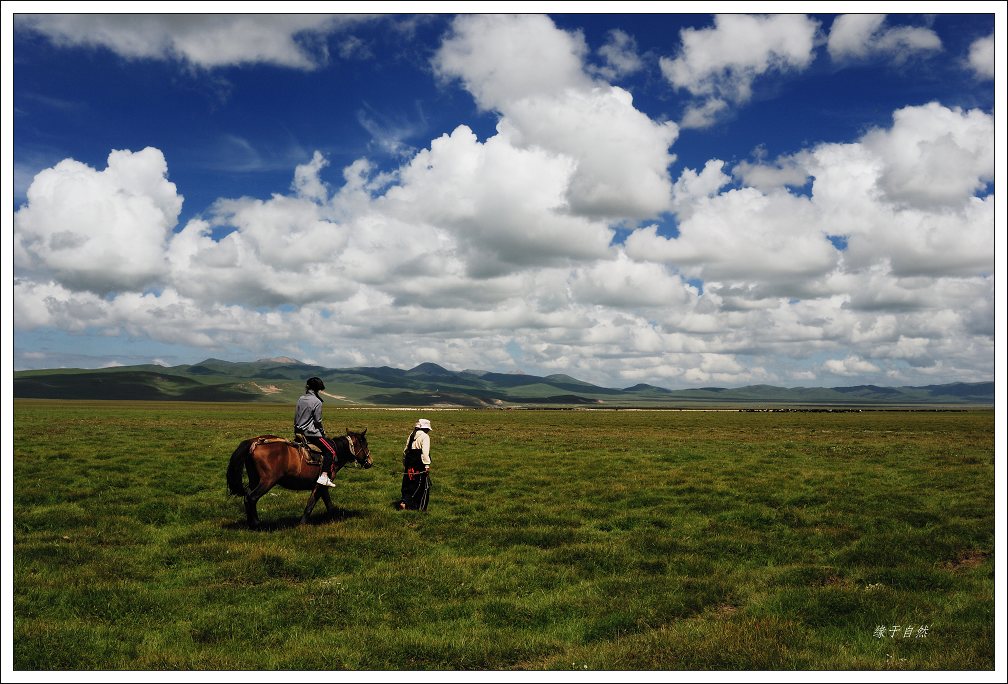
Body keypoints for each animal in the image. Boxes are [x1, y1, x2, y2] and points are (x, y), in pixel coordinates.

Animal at [226, 431, 372, 531]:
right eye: (365, 444)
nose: (370, 462)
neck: (335, 452)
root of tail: (254, 442)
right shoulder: (319, 485)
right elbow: (311, 504)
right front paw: (302, 524)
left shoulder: (323, 485)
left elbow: (328, 503)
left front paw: (334, 518)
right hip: (267, 481)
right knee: (252, 497)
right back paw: (257, 525)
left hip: (254, 479)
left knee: (247, 496)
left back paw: (250, 524)